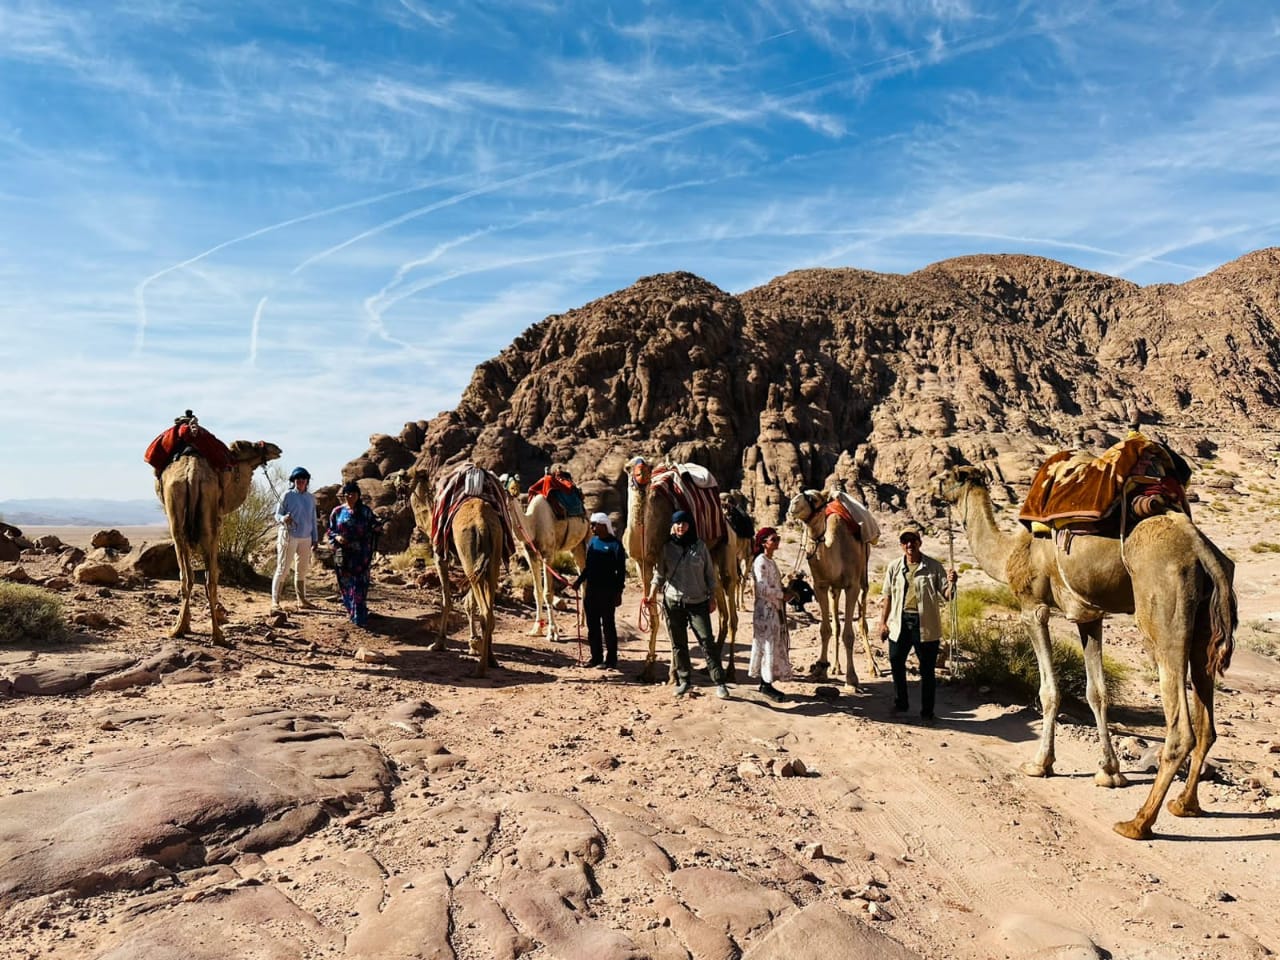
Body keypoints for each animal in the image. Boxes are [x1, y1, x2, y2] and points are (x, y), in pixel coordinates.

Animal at [156, 442, 281, 650]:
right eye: (255, 446)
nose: (276, 449)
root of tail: (192, 475)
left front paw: (188, 623)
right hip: (205, 523)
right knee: (205, 579)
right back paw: (213, 634)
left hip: (180, 525)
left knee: (191, 578)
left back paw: (187, 631)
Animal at [619, 458, 742, 686]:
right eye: (629, 467)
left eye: (647, 465)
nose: (642, 474)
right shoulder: (643, 564)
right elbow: (654, 616)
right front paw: (647, 671)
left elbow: (672, 622)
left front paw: (673, 675)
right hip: (710, 558)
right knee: (721, 606)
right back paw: (711, 666)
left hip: (727, 548)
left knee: (731, 602)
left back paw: (730, 671)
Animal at [778, 491, 880, 686]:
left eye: (814, 498)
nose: (793, 504)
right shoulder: (821, 586)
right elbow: (825, 629)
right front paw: (821, 670)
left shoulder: (852, 586)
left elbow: (849, 634)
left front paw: (852, 679)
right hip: (835, 590)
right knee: (837, 625)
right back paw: (836, 667)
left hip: (863, 578)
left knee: (862, 622)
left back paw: (873, 668)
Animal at [936, 465, 1233, 839]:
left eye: (946, 476)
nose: (934, 491)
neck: (1011, 552)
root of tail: (1202, 550)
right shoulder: (1089, 616)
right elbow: (1098, 692)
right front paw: (1109, 773)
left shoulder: (1033, 607)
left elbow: (1049, 690)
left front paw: (1040, 764)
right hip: (1204, 626)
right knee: (1207, 722)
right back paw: (1184, 805)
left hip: (1165, 609)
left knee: (1181, 728)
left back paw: (1137, 823)